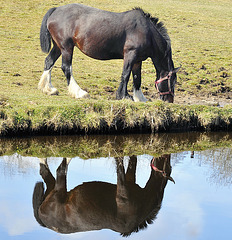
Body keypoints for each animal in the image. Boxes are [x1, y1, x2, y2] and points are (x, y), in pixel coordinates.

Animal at [32, 156, 174, 236]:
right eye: (168, 164)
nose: (167, 154)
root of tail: (44, 222)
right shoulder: (123, 189)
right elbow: (120, 166)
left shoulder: (129, 181)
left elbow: (132, 161)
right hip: (58, 191)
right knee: (60, 169)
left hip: (52, 189)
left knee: (45, 170)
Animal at [38, 3, 179, 102]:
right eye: (171, 82)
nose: (169, 101)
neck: (146, 31)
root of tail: (56, 10)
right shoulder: (130, 55)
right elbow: (126, 74)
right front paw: (123, 95)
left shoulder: (138, 60)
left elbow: (137, 78)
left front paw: (140, 98)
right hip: (66, 47)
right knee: (66, 67)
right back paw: (79, 92)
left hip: (58, 47)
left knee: (49, 62)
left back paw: (48, 89)